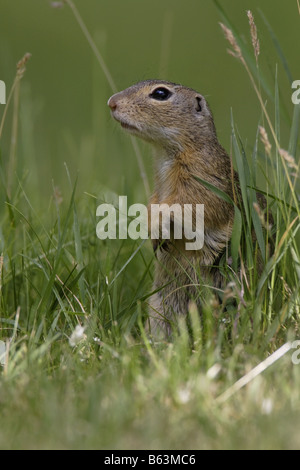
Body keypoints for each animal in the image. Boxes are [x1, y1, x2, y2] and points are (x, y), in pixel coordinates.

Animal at [106, 80, 238, 334]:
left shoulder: (202, 178)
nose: (111, 102)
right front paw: (152, 232)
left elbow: (188, 207)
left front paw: (159, 227)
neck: (167, 154)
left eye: (160, 93)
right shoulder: (158, 188)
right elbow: (153, 203)